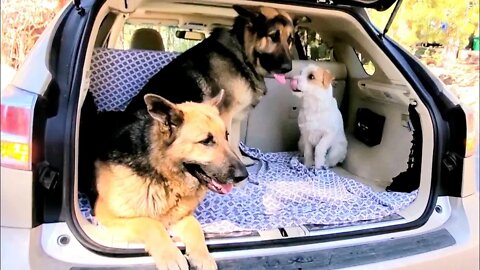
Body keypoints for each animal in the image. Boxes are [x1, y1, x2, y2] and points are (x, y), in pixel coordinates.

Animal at [94, 91, 248, 270]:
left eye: (226, 136)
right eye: (206, 141)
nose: (244, 175)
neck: (163, 176)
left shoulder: (179, 218)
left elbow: (195, 227)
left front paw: (203, 256)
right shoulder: (108, 216)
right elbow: (152, 224)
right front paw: (171, 256)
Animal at [124, 4, 296, 165]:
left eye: (289, 40)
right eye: (273, 36)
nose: (289, 68)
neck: (242, 53)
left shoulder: (235, 118)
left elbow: (234, 142)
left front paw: (241, 160)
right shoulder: (225, 115)